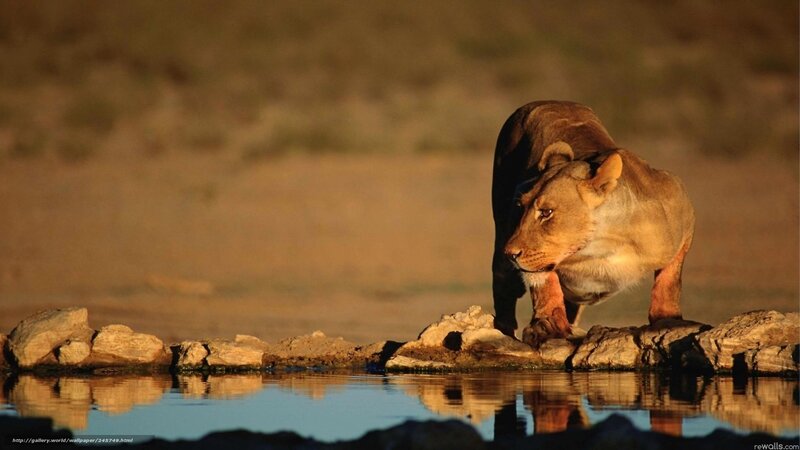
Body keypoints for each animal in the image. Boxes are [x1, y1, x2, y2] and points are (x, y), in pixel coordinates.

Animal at [491, 101, 695, 347]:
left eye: (546, 212)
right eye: (521, 207)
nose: (511, 253)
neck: (599, 246)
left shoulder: (682, 210)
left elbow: (670, 279)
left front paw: (668, 318)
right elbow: (544, 283)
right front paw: (547, 326)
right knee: (503, 290)